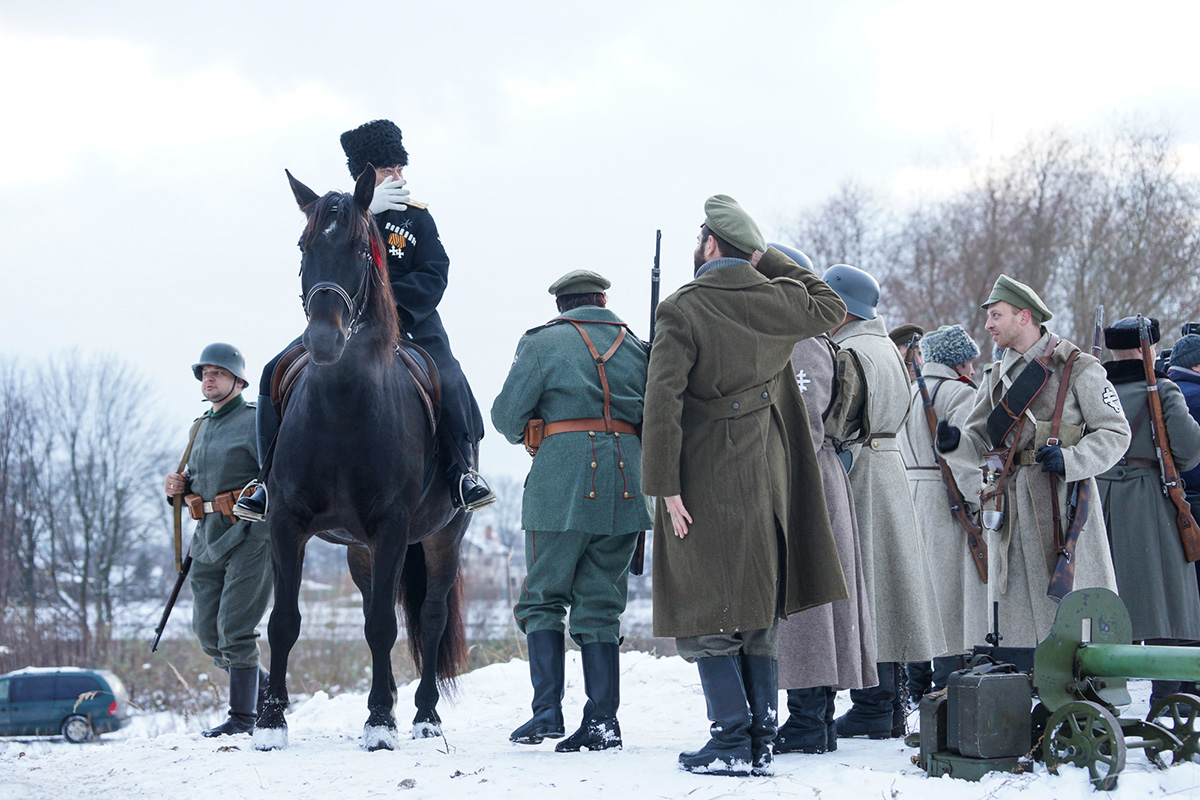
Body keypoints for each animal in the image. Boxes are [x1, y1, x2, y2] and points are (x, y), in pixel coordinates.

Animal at [255, 167, 470, 753]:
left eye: (358, 248)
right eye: (304, 246)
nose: (323, 339)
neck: (342, 407)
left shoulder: (393, 526)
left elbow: (382, 626)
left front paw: (378, 723)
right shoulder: (285, 522)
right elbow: (284, 622)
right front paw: (271, 723)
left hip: (443, 537)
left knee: (430, 616)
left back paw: (423, 715)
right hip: (360, 553)